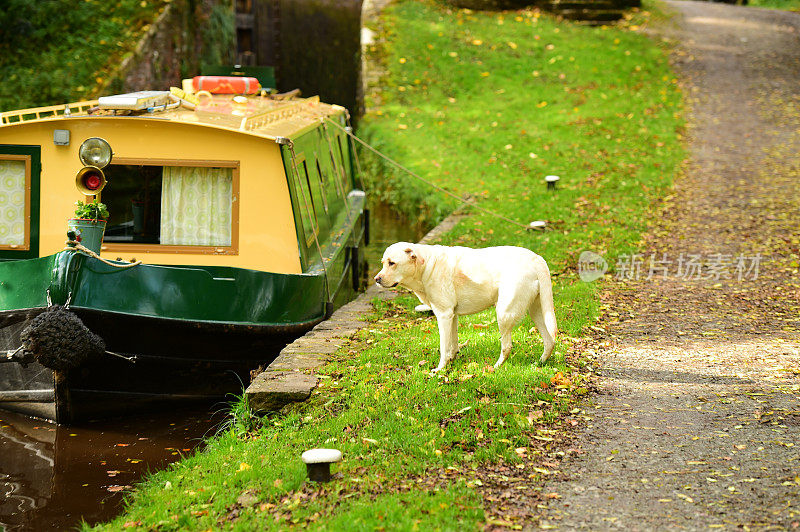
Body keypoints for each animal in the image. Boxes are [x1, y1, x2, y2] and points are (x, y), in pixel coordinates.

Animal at [376, 243, 556, 372]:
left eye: (392, 263)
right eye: (383, 263)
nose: (376, 279)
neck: (426, 266)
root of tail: (536, 258)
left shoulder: (443, 315)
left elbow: (444, 346)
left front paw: (440, 369)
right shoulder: (452, 315)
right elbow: (453, 343)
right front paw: (452, 361)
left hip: (503, 313)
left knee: (507, 347)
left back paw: (496, 367)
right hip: (537, 311)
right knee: (550, 340)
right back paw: (539, 363)